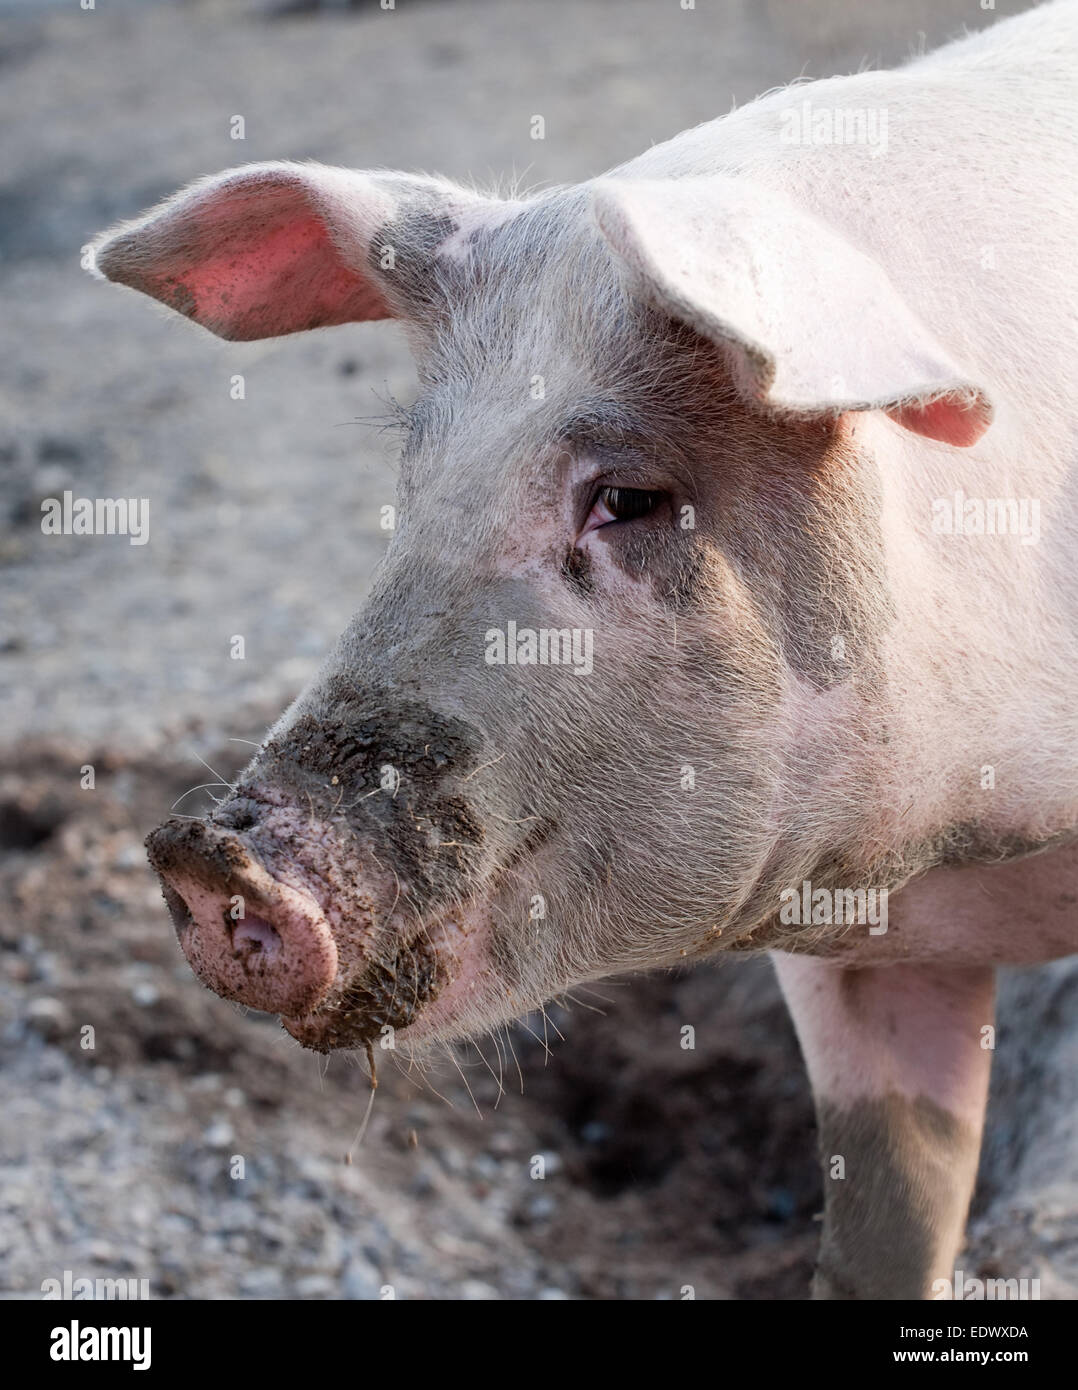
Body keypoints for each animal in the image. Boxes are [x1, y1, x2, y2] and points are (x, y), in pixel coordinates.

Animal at [90, 2, 1078, 1301]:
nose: (211, 856)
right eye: (414, 479)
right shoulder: (848, 948)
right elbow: (891, 1204)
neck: (972, 843)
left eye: (627, 497)